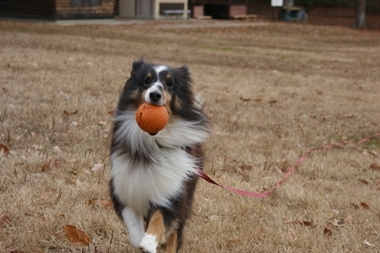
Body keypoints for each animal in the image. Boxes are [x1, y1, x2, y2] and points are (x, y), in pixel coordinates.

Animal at [109, 59, 211, 253]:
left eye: (169, 83)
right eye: (147, 81)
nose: (155, 95)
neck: (153, 142)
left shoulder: (173, 192)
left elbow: (159, 219)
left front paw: (149, 242)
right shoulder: (123, 186)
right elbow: (132, 220)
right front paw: (140, 239)